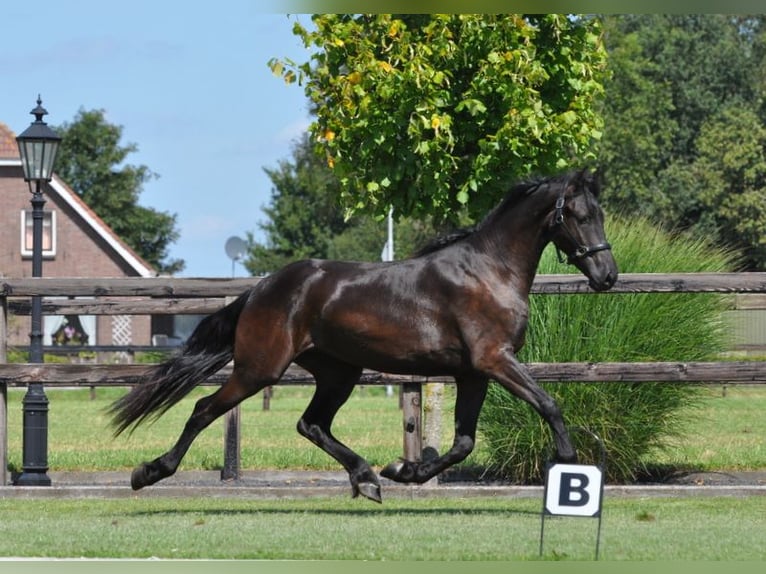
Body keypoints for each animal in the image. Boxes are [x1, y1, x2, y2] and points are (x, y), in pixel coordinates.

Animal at [111, 168, 620, 504]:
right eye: (578, 214)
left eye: (600, 212)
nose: (607, 275)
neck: (489, 271)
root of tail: (262, 288)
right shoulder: (495, 359)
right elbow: (549, 404)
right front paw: (571, 469)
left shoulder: (473, 372)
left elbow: (463, 443)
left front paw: (404, 470)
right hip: (260, 368)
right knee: (203, 409)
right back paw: (148, 472)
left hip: (339, 372)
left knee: (311, 424)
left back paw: (368, 478)